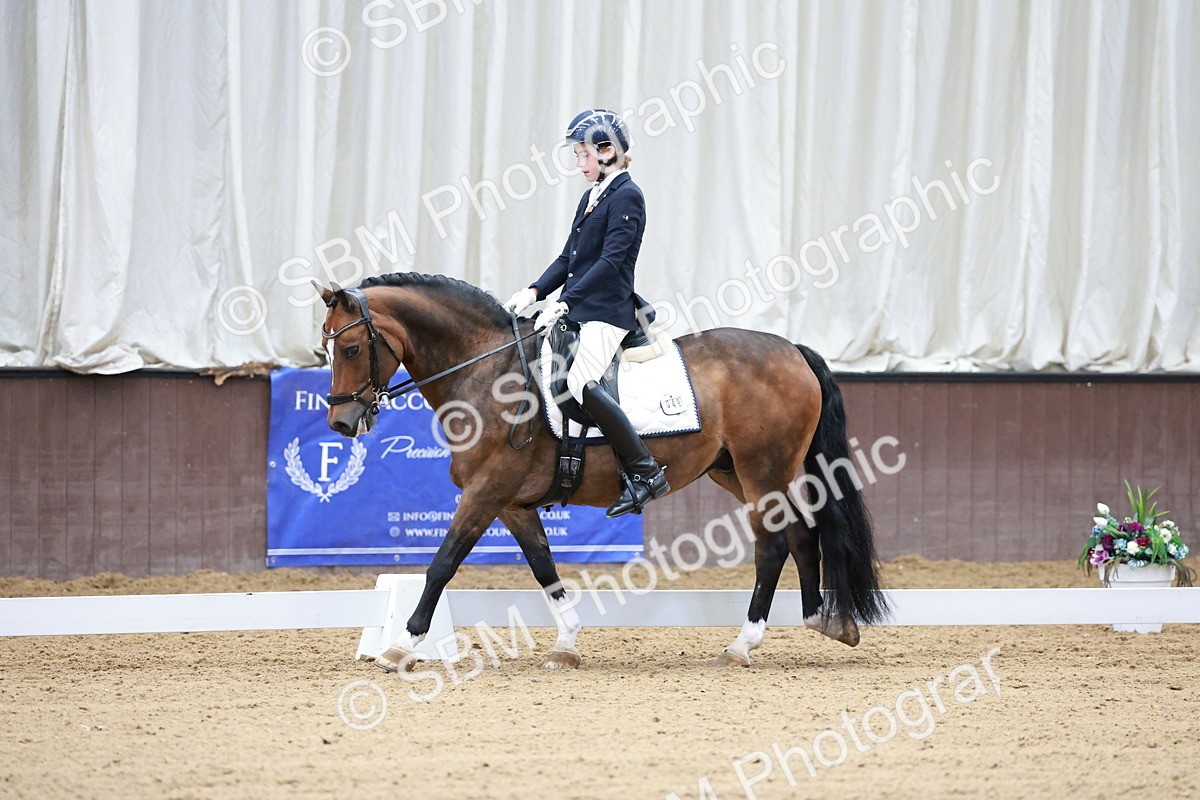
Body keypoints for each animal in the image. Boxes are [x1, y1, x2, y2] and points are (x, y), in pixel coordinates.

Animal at [316, 272, 887, 670]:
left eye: (351, 347)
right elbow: (544, 569)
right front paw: (566, 645)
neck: (486, 373)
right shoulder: (512, 502)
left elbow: (441, 565)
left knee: (772, 545)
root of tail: (793, 349)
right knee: (800, 530)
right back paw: (824, 620)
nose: (341, 422)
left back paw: (741, 645)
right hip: (735, 471)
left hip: (763, 468)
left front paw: (402, 646)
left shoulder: (485, 491)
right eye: (326, 347)